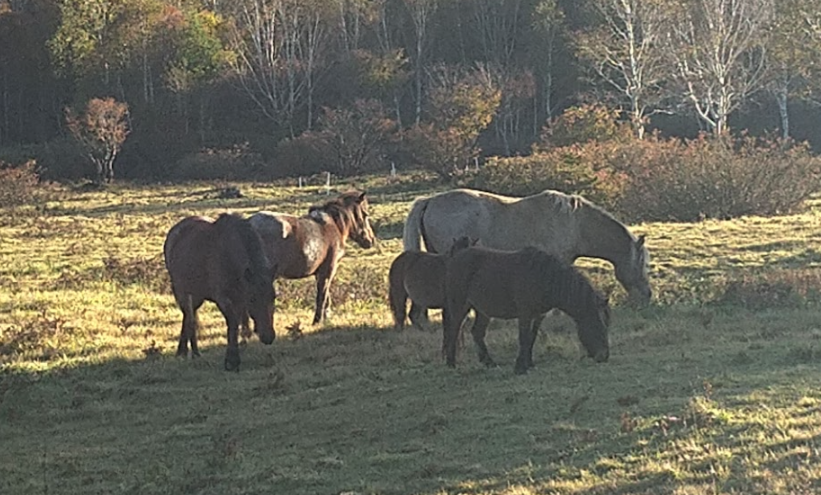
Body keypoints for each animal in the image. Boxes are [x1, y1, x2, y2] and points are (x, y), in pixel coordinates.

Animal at [164, 213, 278, 372]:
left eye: (274, 296)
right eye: (252, 299)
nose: (268, 336)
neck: (229, 256)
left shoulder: (239, 300)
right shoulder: (223, 299)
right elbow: (233, 324)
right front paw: (232, 360)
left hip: (197, 295)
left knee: (190, 317)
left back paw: (194, 352)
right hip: (182, 291)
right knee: (189, 316)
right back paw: (184, 351)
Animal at [248, 191, 376, 326]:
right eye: (365, 215)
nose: (371, 240)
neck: (334, 225)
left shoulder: (320, 273)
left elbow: (326, 295)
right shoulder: (328, 271)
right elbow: (322, 295)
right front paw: (318, 320)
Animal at [442, 246, 608, 374]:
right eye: (596, 325)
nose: (604, 357)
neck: (544, 278)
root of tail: (455, 258)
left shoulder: (538, 315)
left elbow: (531, 338)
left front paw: (529, 364)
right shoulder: (525, 314)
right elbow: (523, 337)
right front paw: (520, 368)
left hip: (483, 311)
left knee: (477, 333)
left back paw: (489, 362)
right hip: (460, 306)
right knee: (454, 330)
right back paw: (451, 363)